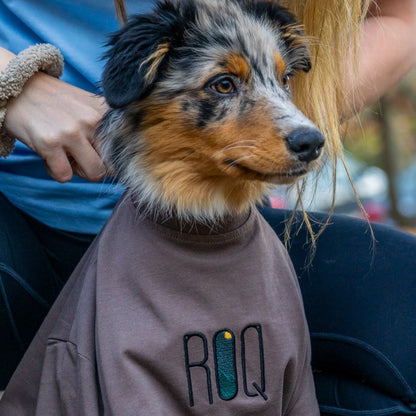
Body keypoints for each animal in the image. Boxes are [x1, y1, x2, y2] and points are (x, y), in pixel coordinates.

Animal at [0, 1, 322, 414]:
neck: (206, 224)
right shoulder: (129, 377)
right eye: (223, 84)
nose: (312, 142)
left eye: (285, 79)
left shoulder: (295, 376)